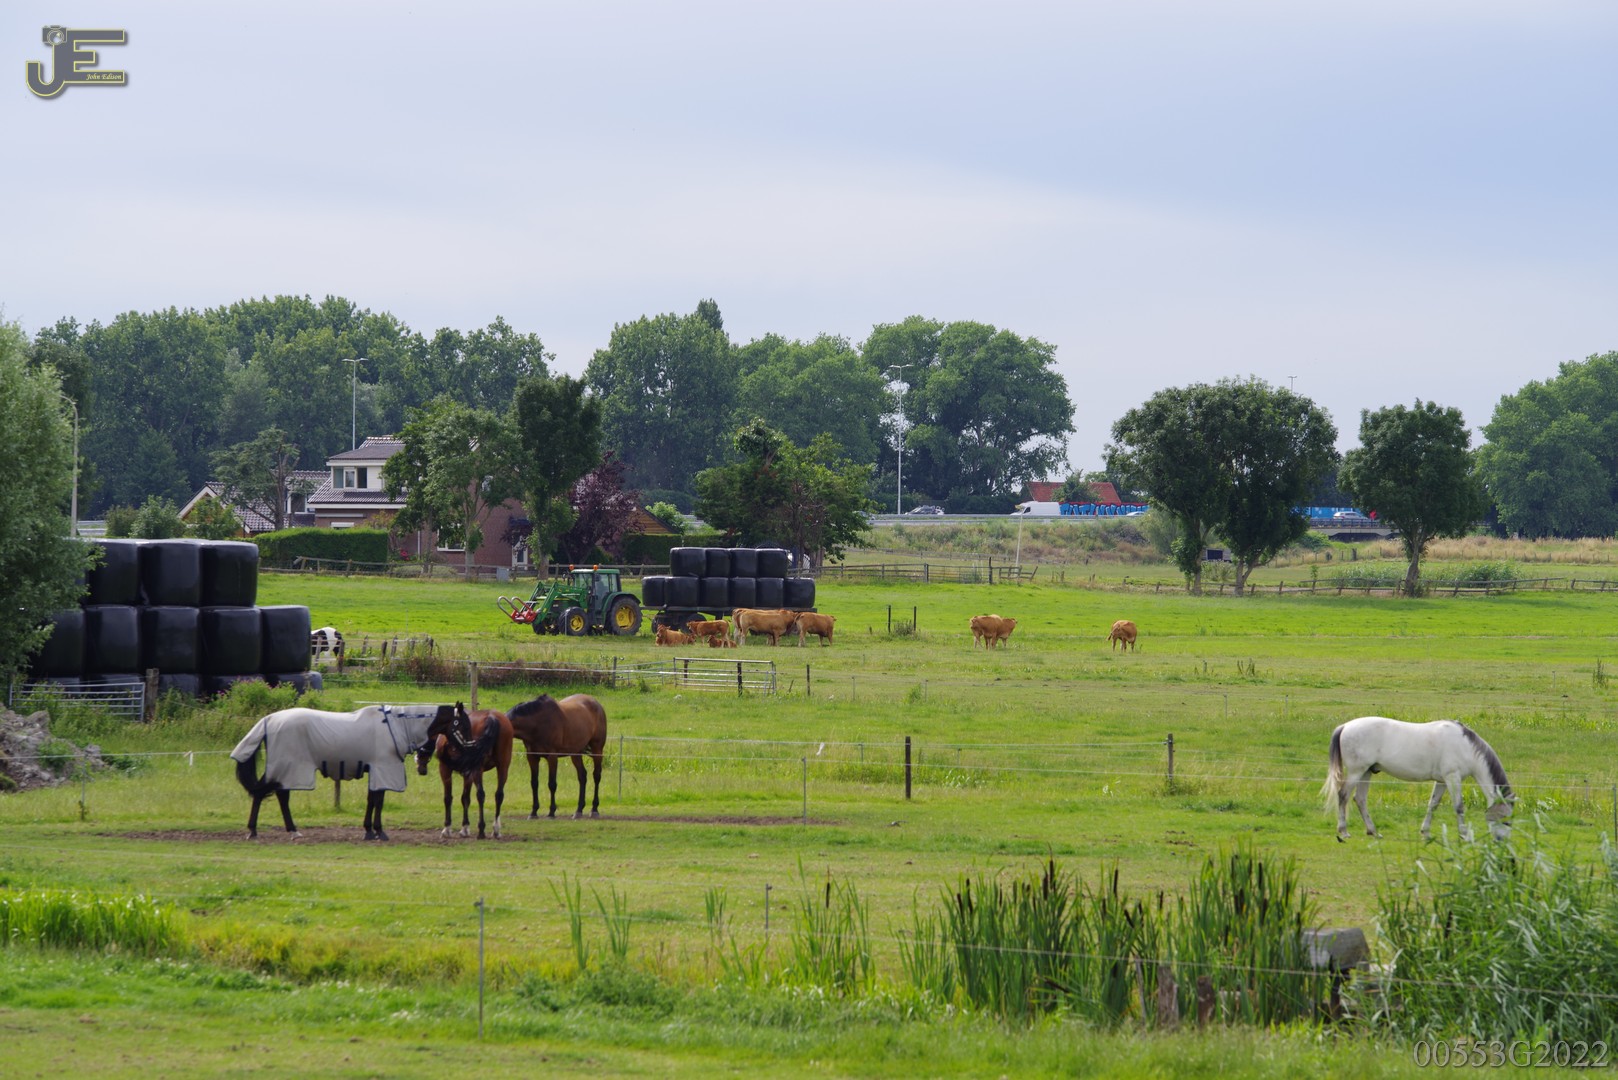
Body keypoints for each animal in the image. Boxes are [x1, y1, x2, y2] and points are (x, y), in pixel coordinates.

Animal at [231, 703, 455, 841]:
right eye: (459, 724)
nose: (422, 766)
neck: (394, 726)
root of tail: (268, 720)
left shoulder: (375, 772)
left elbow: (372, 799)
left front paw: (369, 831)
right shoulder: (383, 770)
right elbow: (379, 801)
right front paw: (379, 831)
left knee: (272, 794)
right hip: (286, 768)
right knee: (269, 794)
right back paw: (265, 831)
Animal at [415, 702, 514, 839]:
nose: (419, 763)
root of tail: (492, 717)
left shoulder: (445, 769)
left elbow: (448, 798)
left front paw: (447, 828)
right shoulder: (468, 774)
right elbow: (465, 798)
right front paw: (465, 828)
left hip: (478, 769)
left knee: (481, 794)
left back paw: (481, 830)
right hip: (503, 766)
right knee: (499, 795)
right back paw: (496, 830)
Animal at [1321, 716, 1515, 843]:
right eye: (1505, 819)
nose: (1502, 841)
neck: (1465, 746)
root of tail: (1345, 726)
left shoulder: (1442, 781)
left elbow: (1433, 804)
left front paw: (1426, 832)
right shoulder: (1453, 777)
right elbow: (1459, 807)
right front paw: (1465, 834)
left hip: (1367, 772)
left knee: (1360, 799)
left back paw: (1373, 831)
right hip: (1357, 771)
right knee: (1343, 795)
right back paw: (1343, 831)